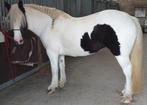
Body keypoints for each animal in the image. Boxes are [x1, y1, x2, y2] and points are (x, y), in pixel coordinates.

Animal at [4, 0, 142, 103]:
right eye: (9, 19)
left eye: (23, 20)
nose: (17, 40)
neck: (49, 26)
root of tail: (130, 18)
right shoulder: (60, 54)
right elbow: (62, 66)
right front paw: (61, 83)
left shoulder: (52, 53)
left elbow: (54, 70)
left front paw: (52, 87)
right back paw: (125, 91)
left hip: (120, 54)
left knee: (127, 71)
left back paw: (127, 97)